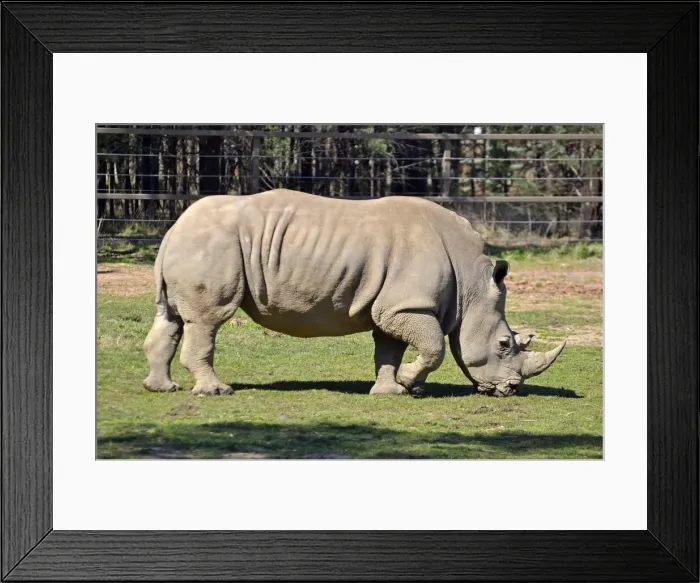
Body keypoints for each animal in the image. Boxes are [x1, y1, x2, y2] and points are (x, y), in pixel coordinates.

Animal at [143, 189, 566, 397]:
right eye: (504, 345)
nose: (510, 390)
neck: (471, 287)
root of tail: (175, 227)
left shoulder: (395, 307)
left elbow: (390, 350)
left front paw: (392, 391)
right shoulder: (408, 306)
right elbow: (433, 348)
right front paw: (410, 384)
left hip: (195, 245)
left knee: (171, 316)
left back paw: (162, 388)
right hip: (214, 244)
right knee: (208, 319)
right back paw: (216, 392)